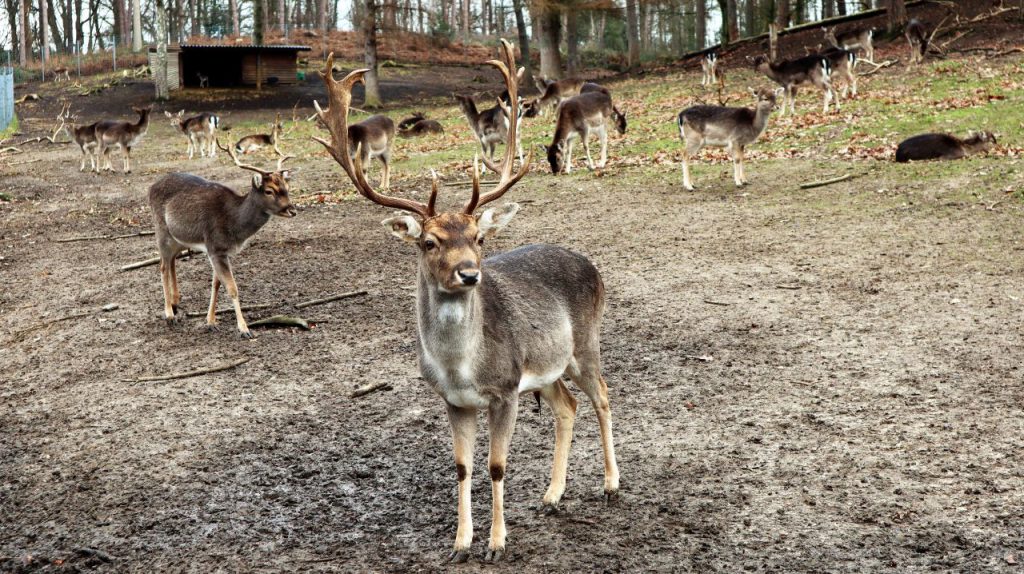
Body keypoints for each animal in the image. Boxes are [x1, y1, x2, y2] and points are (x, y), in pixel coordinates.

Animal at [149, 139, 299, 337]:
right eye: (269, 191)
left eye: (287, 188)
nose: (292, 210)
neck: (234, 224)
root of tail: (150, 188)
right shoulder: (215, 247)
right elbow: (232, 288)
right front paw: (244, 329)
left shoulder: (221, 251)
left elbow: (216, 284)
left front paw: (211, 321)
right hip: (161, 230)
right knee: (163, 266)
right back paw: (169, 314)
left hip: (178, 238)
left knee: (172, 260)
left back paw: (175, 303)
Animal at [311, 40, 618, 560]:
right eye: (429, 242)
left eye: (478, 237)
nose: (470, 273)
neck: (461, 365)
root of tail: (590, 264)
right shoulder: (454, 400)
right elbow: (462, 467)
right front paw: (460, 542)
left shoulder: (505, 389)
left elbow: (496, 466)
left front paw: (496, 543)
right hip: (547, 367)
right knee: (567, 406)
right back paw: (552, 495)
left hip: (585, 343)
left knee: (602, 396)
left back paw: (612, 484)